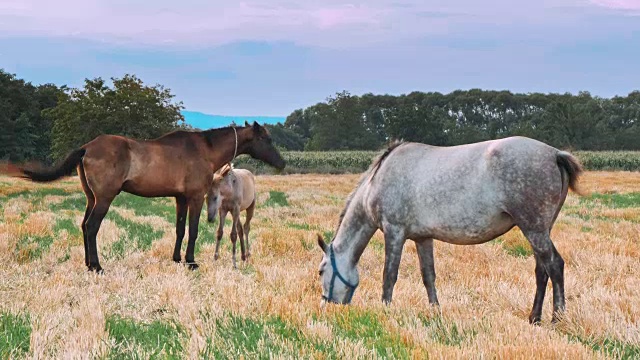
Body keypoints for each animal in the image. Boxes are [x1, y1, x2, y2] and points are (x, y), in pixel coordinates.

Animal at [5, 121, 284, 272]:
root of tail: (86, 147)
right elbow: (193, 230)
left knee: (84, 226)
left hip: (91, 198)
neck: (204, 150)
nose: (281, 162)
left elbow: (180, 229)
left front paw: (176, 259)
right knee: (92, 227)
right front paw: (191, 261)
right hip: (103, 199)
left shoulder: (180, 198)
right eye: (267, 139)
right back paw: (97, 266)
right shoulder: (195, 197)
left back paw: (88, 263)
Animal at [318, 136, 584, 324]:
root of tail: (555, 154)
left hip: (534, 229)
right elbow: (428, 276)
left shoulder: (394, 232)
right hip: (539, 230)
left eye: (321, 271)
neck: (378, 181)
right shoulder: (423, 238)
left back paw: (557, 318)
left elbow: (389, 276)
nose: (327, 306)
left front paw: (385, 311)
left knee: (554, 265)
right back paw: (534, 318)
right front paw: (435, 311)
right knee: (541, 270)